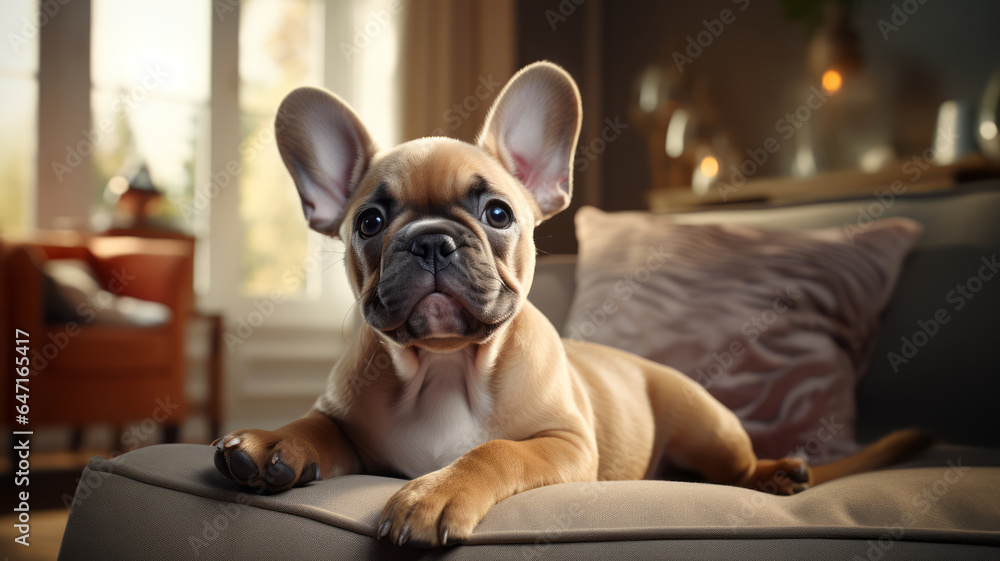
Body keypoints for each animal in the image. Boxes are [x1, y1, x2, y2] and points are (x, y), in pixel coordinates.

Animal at [215, 62, 932, 548]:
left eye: (496, 213)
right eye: (369, 221)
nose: (431, 240)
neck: (445, 365)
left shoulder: (562, 443)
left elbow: (494, 452)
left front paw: (436, 491)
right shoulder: (346, 425)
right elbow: (316, 426)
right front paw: (270, 440)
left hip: (709, 426)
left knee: (740, 466)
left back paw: (781, 473)